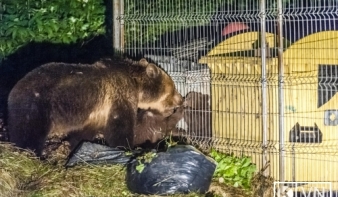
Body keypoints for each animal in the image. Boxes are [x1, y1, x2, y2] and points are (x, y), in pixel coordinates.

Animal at [7, 57, 182, 156]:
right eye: (173, 88)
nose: (180, 100)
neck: (137, 86)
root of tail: (12, 93)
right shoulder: (119, 95)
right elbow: (120, 127)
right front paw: (128, 147)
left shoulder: (97, 112)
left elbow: (84, 132)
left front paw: (73, 146)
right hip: (36, 106)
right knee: (30, 133)